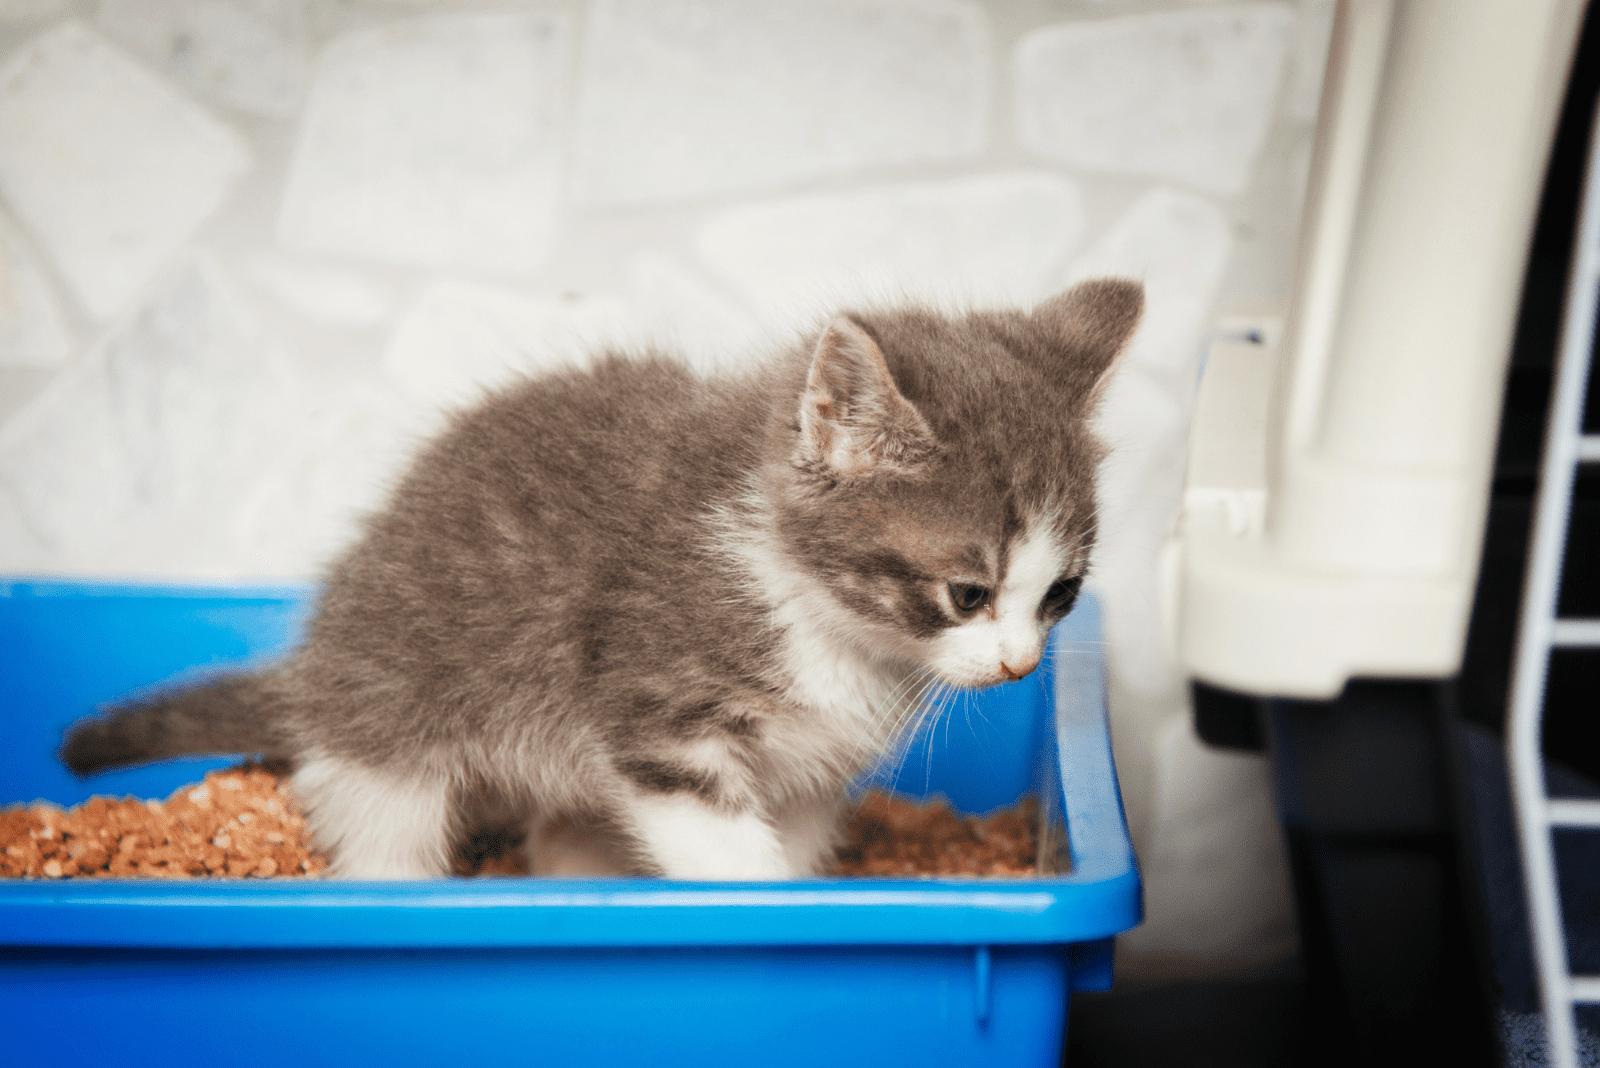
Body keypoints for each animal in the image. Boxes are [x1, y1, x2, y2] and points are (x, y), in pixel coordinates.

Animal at [59, 279, 1139, 882]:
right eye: (967, 594)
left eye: (1060, 597)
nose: (1018, 666)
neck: (819, 613)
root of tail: (318, 658)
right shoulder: (657, 709)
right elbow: (726, 848)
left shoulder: (811, 768)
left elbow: (790, 837)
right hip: (392, 704)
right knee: (382, 819)